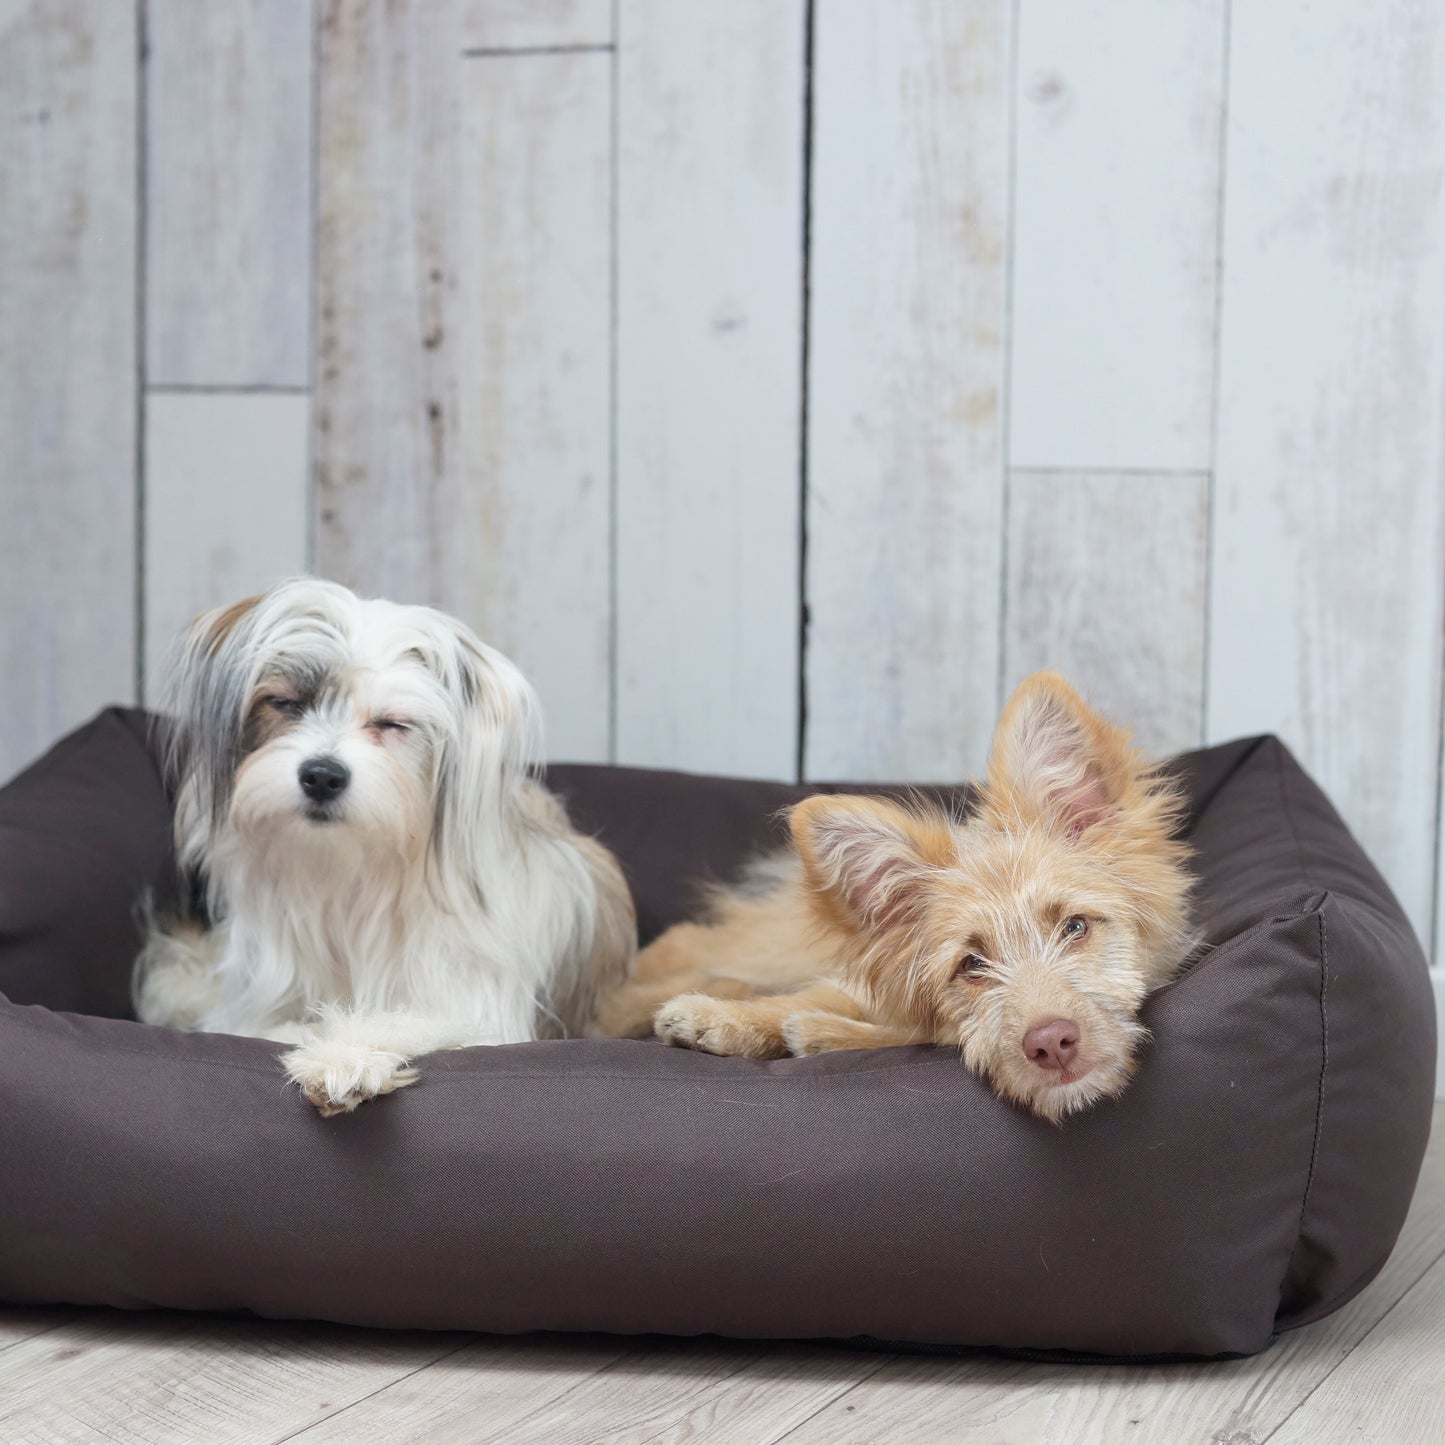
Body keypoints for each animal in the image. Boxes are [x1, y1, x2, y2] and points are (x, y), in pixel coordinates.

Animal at [134, 575, 632, 1115]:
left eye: (393, 723)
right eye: (286, 704)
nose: (322, 775)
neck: (358, 869)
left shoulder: (480, 1009)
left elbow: (417, 1020)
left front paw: (343, 1053)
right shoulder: (249, 1007)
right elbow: (271, 1024)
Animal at [595, 670, 1196, 1121]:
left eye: (1074, 927)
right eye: (971, 965)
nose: (1050, 1043)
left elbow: (883, 1029)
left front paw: (813, 1033)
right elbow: (810, 1004)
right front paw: (727, 1019)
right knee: (689, 943)